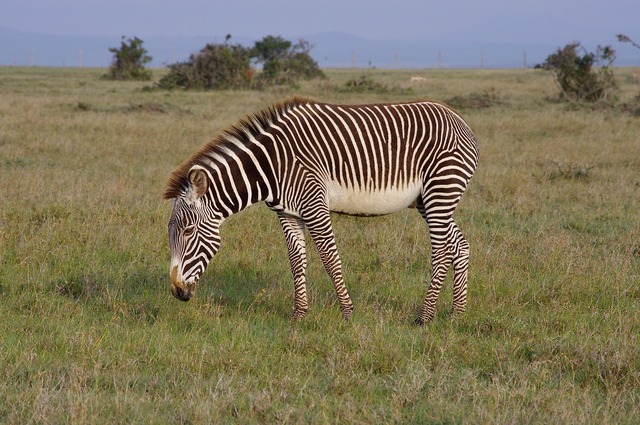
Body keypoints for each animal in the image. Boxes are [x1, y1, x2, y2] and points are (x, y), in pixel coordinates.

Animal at [162, 96, 478, 322]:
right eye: (170, 233)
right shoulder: (288, 213)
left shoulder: (314, 205)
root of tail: (459, 120)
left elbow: (329, 259)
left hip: (440, 190)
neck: (271, 166)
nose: (176, 291)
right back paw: (457, 314)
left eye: (188, 231)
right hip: (429, 200)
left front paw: (347, 313)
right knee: (460, 245)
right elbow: (296, 260)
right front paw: (299, 315)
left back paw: (425, 317)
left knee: (441, 251)